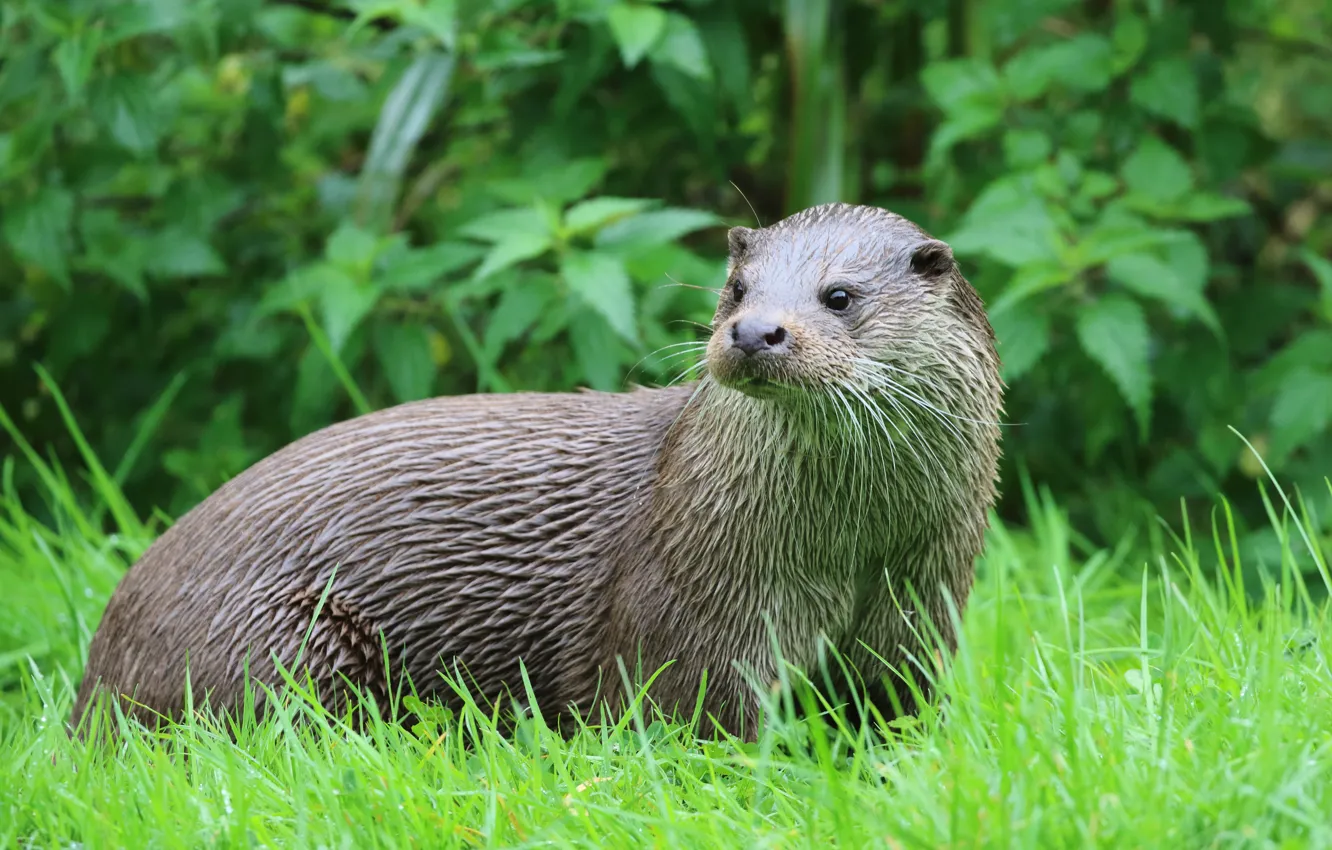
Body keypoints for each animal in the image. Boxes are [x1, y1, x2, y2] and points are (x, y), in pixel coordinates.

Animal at [70, 205, 1001, 740]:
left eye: (839, 295)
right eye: (736, 287)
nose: (753, 332)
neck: (846, 549)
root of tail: (95, 677)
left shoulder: (916, 612)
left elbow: (890, 715)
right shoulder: (697, 617)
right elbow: (688, 726)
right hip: (273, 643)